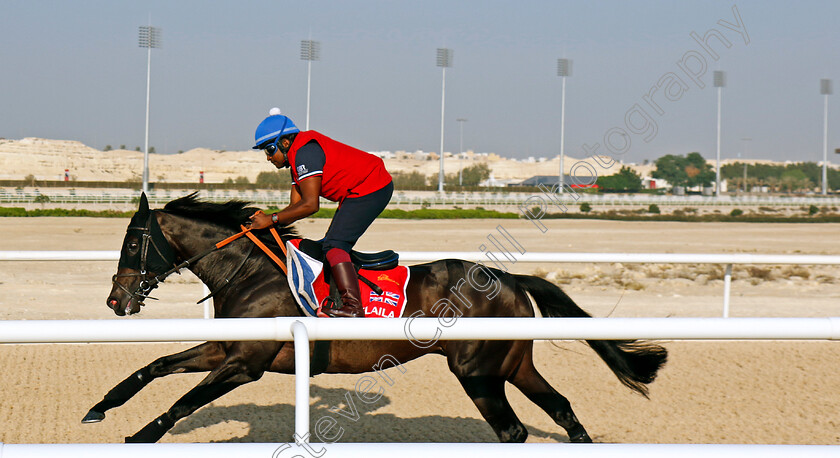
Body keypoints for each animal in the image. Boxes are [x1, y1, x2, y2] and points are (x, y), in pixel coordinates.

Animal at [85, 193, 668, 444]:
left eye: (133, 241)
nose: (116, 301)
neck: (249, 272)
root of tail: (508, 277)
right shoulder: (225, 348)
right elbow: (154, 367)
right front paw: (99, 408)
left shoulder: (245, 363)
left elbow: (184, 401)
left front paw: (139, 438)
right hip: (511, 364)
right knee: (562, 410)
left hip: (478, 372)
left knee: (514, 430)